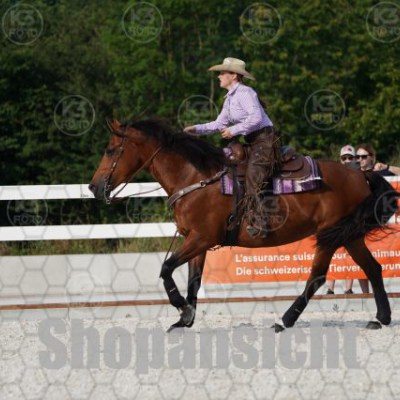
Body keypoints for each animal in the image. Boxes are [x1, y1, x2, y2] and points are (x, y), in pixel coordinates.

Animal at [89, 118, 399, 332]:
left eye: (110, 150)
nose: (94, 187)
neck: (195, 178)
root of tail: (360, 175)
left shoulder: (200, 238)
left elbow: (166, 269)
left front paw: (181, 309)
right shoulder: (197, 242)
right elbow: (193, 280)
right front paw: (186, 318)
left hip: (329, 234)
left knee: (317, 277)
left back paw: (285, 320)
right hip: (349, 235)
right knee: (372, 268)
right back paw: (380, 318)